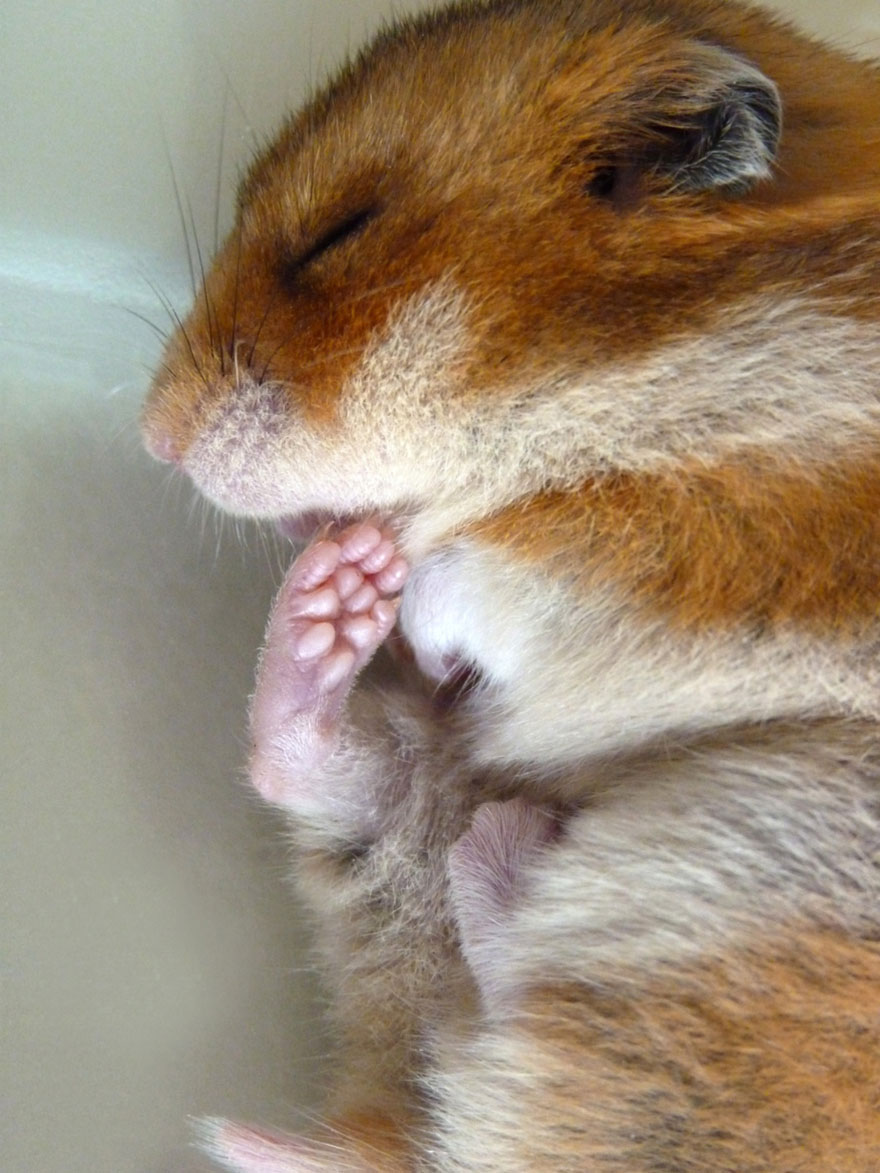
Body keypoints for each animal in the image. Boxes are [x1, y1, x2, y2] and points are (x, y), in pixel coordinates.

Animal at [141, 0, 880, 1168]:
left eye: (338, 235)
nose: (150, 435)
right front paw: (371, 564)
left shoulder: (755, 518)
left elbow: (536, 555)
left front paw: (415, 589)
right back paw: (336, 607)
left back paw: (498, 832)